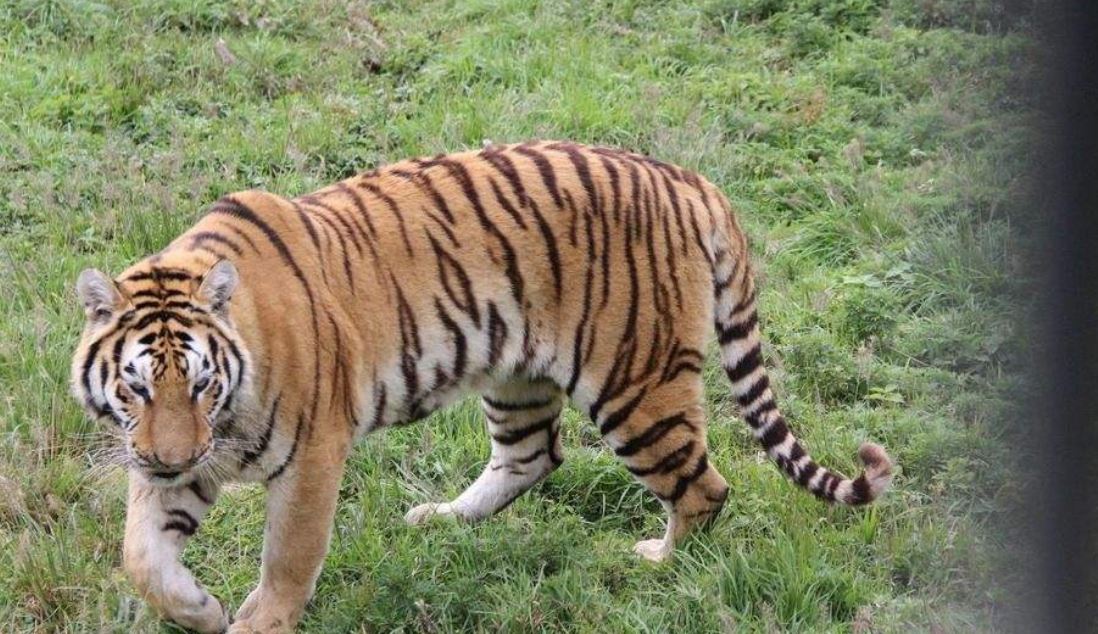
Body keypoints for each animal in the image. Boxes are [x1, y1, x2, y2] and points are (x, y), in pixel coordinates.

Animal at [70, 141, 892, 633]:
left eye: (201, 385)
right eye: (137, 388)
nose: (171, 459)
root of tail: (690, 182)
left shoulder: (309, 457)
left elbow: (288, 559)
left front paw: (252, 621)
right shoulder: (173, 458)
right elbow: (143, 557)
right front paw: (200, 610)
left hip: (636, 387)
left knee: (704, 487)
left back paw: (660, 561)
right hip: (517, 374)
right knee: (533, 458)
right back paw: (439, 520)